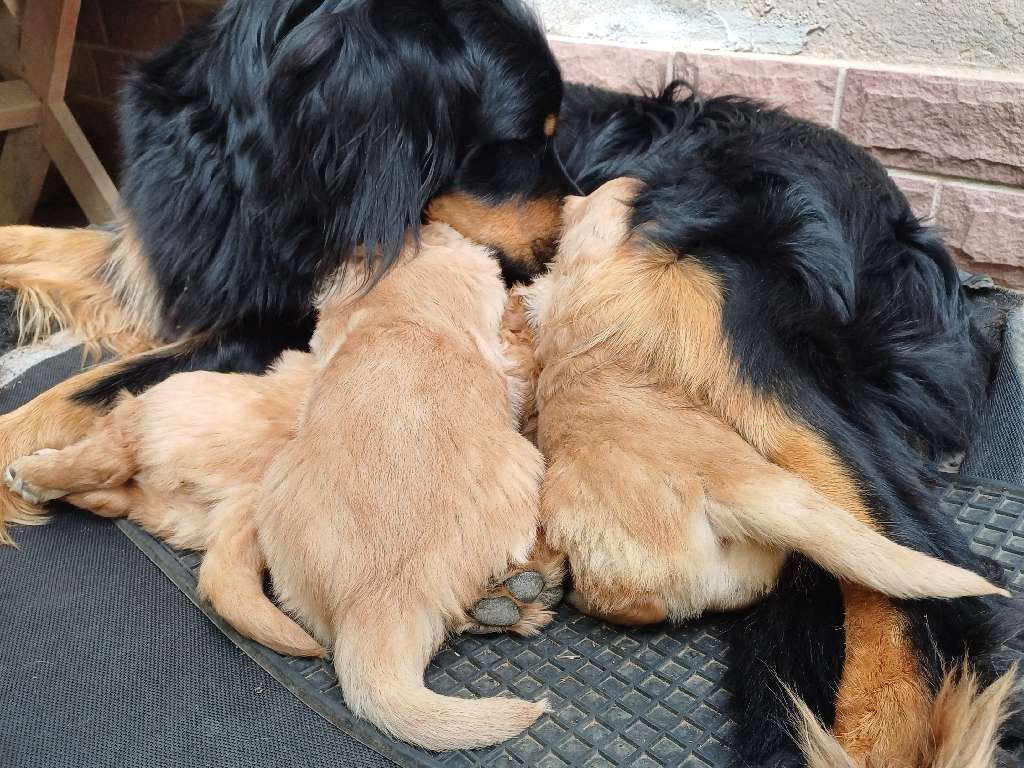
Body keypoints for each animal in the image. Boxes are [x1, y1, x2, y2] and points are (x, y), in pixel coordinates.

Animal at [0, 0, 571, 541]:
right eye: (522, 143)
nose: (568, 242)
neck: (259, 179)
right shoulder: (178, 252)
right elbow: (37, 241)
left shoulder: (273, 329)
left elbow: (83, 389)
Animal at [4, 224, 564, 751]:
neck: (411, 313)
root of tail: (379, 603)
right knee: (112, 481)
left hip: (169, 416)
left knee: (108, 463)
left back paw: (34, 474)